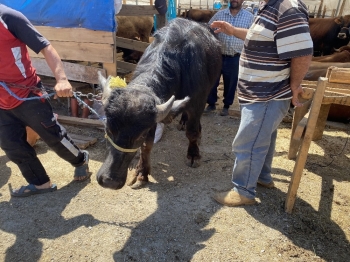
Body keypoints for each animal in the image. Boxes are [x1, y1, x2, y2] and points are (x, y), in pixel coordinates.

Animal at [95, 18, 221, 190]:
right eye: (108, 129)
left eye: (139, 134)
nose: (109, 181)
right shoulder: (152, 119)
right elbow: (147, 146)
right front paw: (141, 173)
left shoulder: (197, 102)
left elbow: (192, 132)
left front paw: (194, 155)